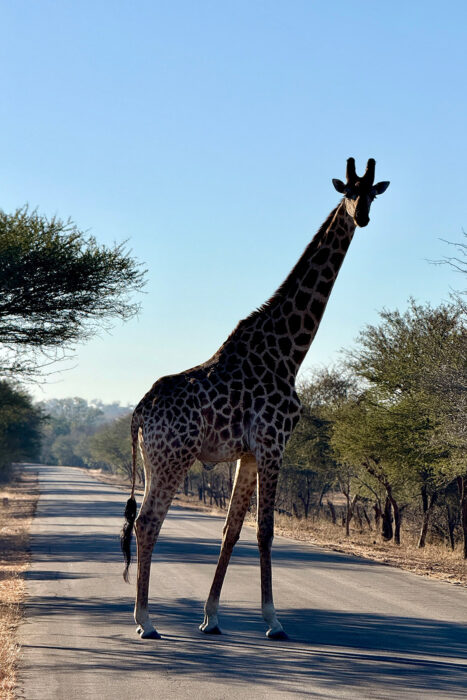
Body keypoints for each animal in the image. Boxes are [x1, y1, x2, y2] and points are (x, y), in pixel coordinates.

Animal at [121, 157, 389, 640]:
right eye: (348, 192)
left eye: (371, 194)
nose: (361, 216)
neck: (289, 351)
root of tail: (138, 413)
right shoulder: (273, 442)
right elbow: (265, 530)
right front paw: (273, 620)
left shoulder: (248, 452)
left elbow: (231, 529)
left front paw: (211, 617)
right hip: (173, 457)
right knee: (148, 522)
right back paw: (146, 621)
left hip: (154, 460)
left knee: (140, 522)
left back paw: (145, 616)